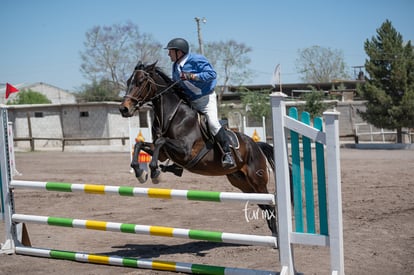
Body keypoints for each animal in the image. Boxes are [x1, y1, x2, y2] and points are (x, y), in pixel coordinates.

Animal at [119, 62, 278, 235]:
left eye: (140, 82)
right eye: (128, 82)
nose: (124, 109)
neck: (173, 115)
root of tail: (255, 145)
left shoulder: (185, 151)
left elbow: (161, 141)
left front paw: (155, 172)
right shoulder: (162, 154)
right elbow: (140, 144)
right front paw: (140, 172)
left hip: (257, 181)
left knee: (270, 206)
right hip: (242, 183)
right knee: (265, 206)